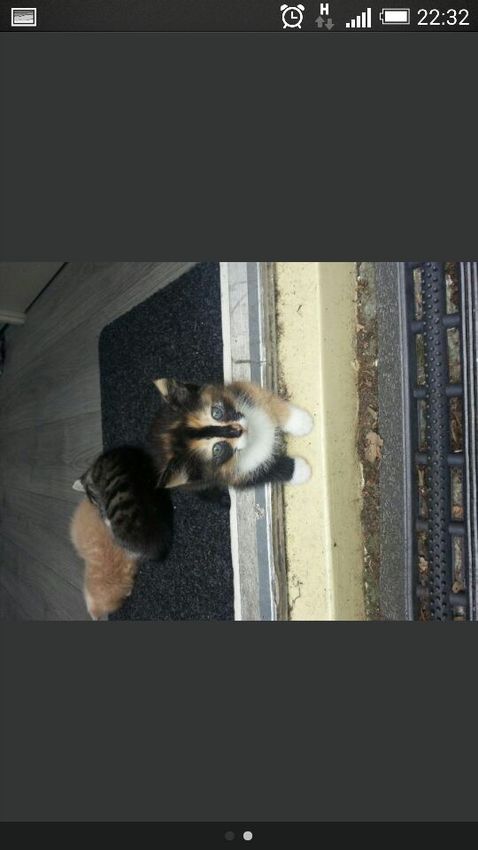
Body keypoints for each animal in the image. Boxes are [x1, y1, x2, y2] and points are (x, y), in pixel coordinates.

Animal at [149, 378, 313, 491]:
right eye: (217, 449)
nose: (239, 430)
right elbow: (265, 472)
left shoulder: (241, 389)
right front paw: (300, 470)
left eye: (216, 413)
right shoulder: (229, 477)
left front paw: (301, 421)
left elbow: (269, 401)